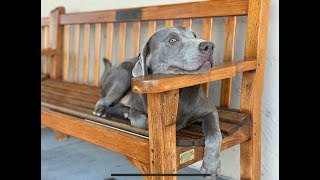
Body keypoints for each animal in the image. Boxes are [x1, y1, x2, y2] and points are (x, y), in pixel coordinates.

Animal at [94, 26, 221, 179]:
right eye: (172, 40)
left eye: (195, 36)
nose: (209, 46)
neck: (178, 91)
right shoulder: (136, 107)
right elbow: (140, 120)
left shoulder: (209, 111)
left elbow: (215, 134)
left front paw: (211, 167)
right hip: (123, 76)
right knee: (105, 100)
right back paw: (103, 111)